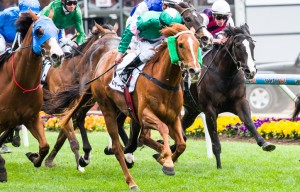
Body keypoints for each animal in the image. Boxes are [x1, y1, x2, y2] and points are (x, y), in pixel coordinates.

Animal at [0, 10, 62, 182]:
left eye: (57, 30)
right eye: (39, 31)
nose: (57, 56)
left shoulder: (31, 118)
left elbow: (44, 146)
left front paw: (33, 157)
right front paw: (2, 169)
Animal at [42, 22, 119, 171]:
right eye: (106, 41)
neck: (73, 71)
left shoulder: (75, 107)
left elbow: (62, 137)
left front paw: (48, 160)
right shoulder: (61, 109)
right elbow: (71, 138)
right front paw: (80, 163)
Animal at [61, 23, 202, 189]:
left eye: (197, 44)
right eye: (180, 45)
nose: (194, 70)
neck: (164, 81)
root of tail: (102, 62)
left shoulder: (173, 118)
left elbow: (181, 144)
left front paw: (164, 158)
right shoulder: (144, 115)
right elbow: (161, 129)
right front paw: (166, 160)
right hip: (106, 107)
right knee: (113, 144)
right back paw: (130, 181)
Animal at [179, 23, 276, 169]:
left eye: (252, 45)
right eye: (238, 46)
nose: (251, 71)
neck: (224, 74)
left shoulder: (240, 102)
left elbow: (249, 122)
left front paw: (265, 143)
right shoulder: (209, 109)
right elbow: (215, 139)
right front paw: (219, 166)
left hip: (192, 110)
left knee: (181, 126)